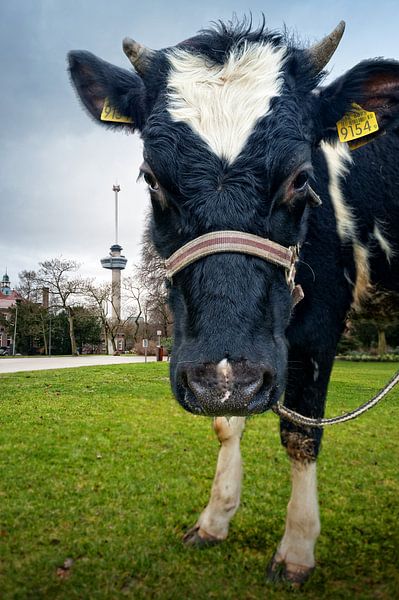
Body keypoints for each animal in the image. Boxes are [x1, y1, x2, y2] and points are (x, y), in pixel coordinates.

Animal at [69, 19, 399, 584]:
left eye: (301, 178)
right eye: (151, 178)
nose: (224, 380)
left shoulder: (318, 327)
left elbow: (301, 434)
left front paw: (296, 549)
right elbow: (226, 421)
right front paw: (214, 518)